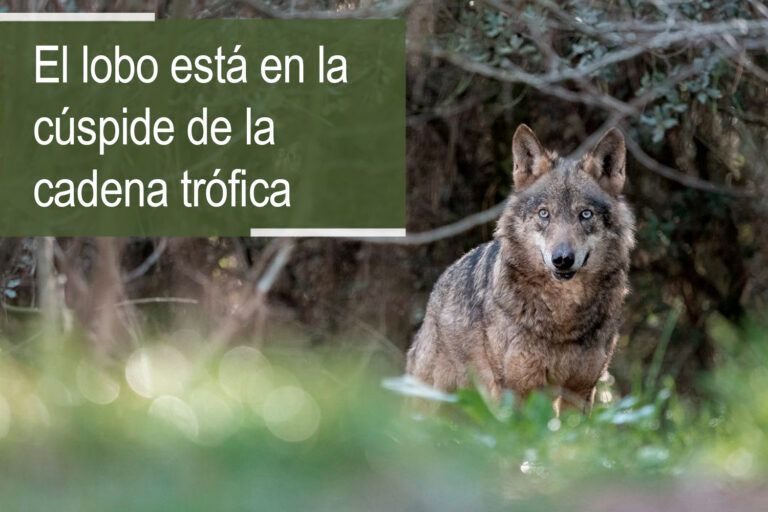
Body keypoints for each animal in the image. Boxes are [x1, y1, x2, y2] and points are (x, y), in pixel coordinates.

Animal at [406, 125, 635, 412]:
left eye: (585, 214)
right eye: (544, 214)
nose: (562, 259)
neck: (563, 317)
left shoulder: (580, 390)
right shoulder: (517, 389)